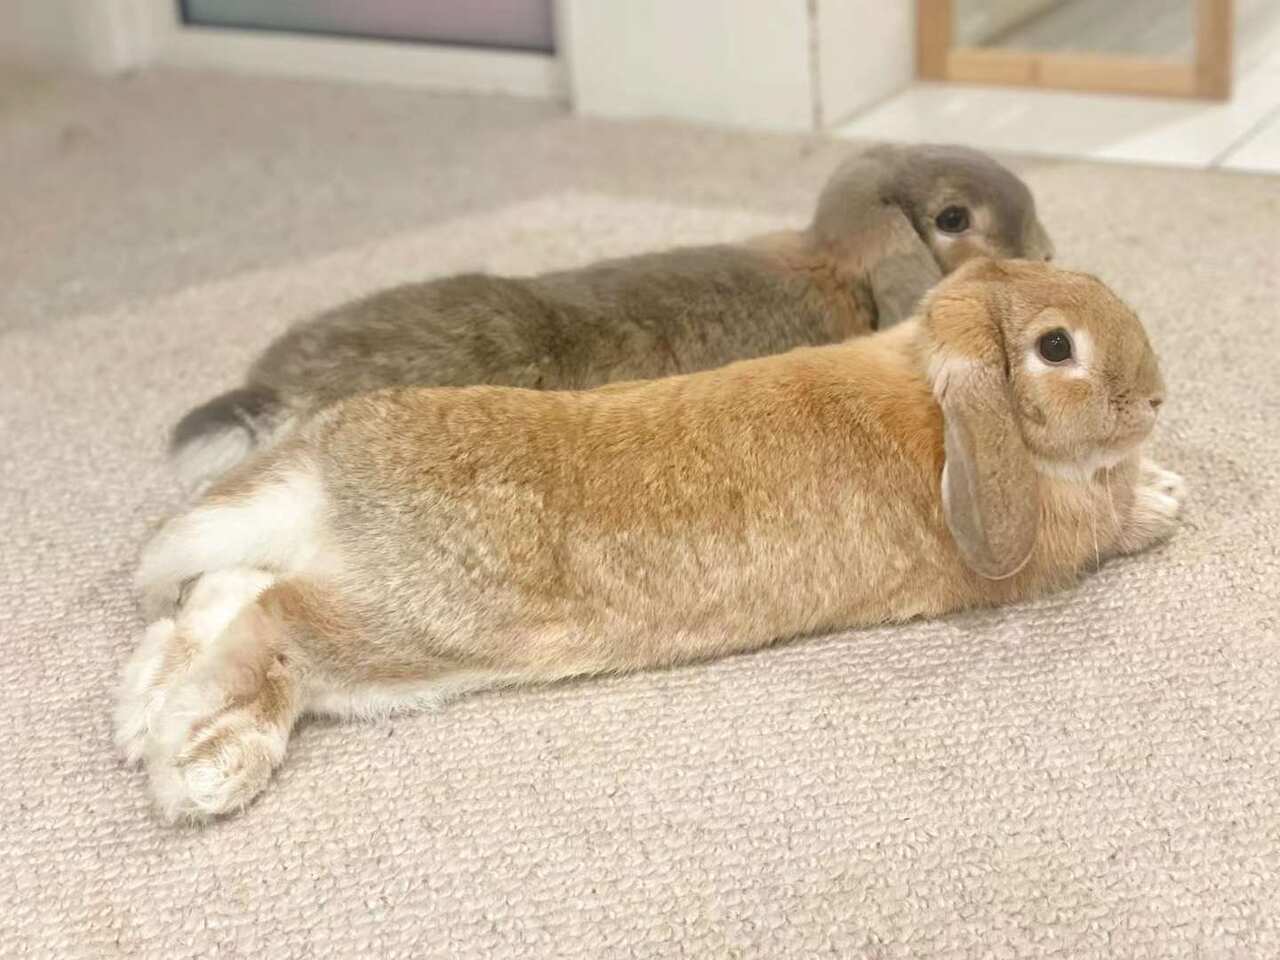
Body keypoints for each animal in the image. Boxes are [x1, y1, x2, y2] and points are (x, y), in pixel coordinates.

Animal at [117, 259, 1183, 823]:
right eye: (1056, 348)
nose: (1156, 399)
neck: (941, 394)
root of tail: (332, 474)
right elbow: (1107, 522)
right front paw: (1162, 499)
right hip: (413, 632)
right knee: (275, 618)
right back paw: (198, 759)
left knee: (215, 594)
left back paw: (144, 718)